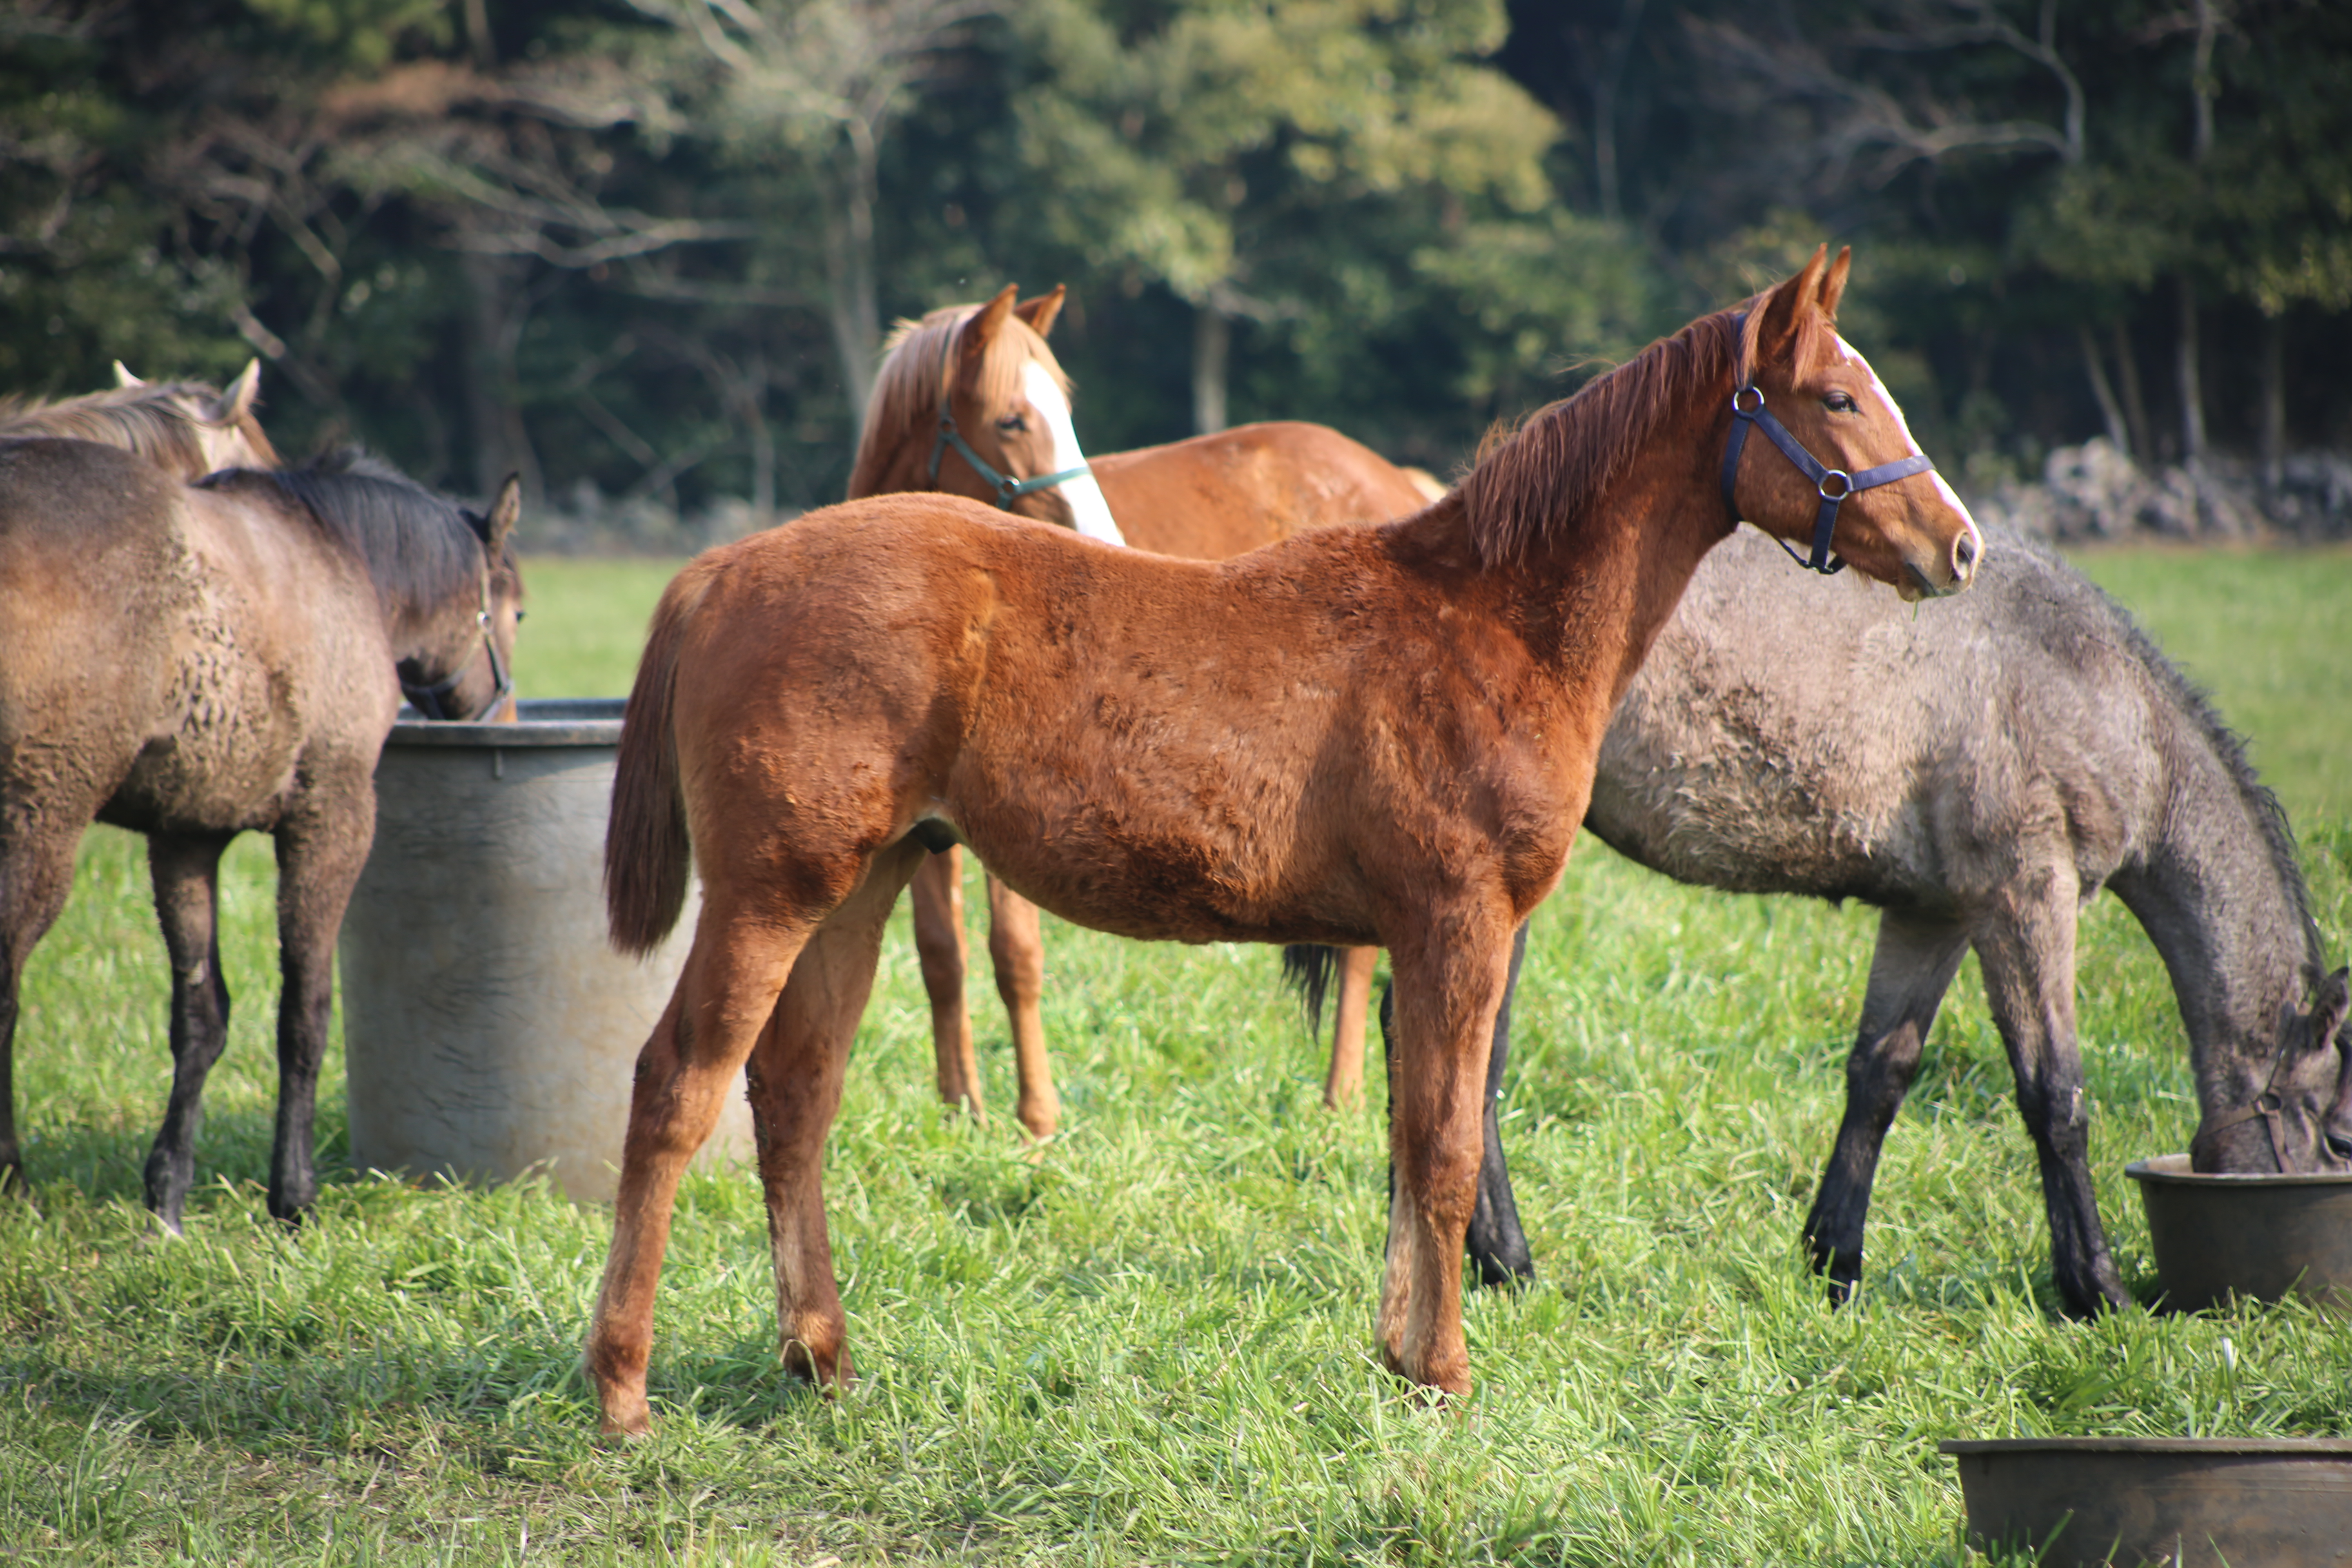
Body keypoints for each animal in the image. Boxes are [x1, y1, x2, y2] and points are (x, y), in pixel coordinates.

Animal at [0, 439, 524, 1222]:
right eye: (518, 612)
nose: (507, 719)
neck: (343, 559)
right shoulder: (332, 820)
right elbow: (304, 1013)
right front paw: (294, 1196)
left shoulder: (187, 835)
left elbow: (200, 1018)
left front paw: (168, 1190)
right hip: (43, 819)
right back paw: (14, 1182)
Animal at [842, 285, 1411, 1142]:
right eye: (1012, 420)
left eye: (1066, 411)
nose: (1103, 537)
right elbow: (942, 956)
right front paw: (961, 1109)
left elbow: (1016, 955)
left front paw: (1037, 1120)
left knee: (1358, 952)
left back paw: (1340, 1099)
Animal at [1345, 522, 2352, 1316]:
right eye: (2339, 1136)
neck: (2087, 685)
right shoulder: (2026, 894)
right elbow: (2054, 1093)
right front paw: (2095, 1291)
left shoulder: (1935, 913)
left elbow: (1882, 1074)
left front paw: (1834, 1266)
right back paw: (1502, 1264)